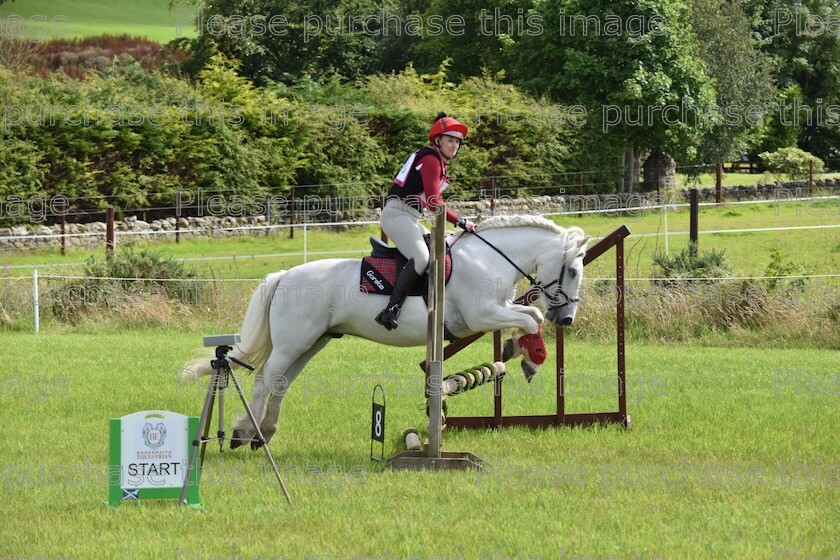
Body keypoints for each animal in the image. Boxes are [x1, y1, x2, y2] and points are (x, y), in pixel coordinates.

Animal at [180, 217, 588, 448]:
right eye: (572, 270)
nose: (567, 319)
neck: (488, 258)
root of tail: (284, 276)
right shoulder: (481, 314)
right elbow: (531, 318)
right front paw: (532, 359)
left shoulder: (494, 311)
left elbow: (529, 314)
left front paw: (519, 349)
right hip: (292, 342)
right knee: (266, 380)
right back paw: (245, 433)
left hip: (311, 343)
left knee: (281, 383)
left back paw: (263, 432)